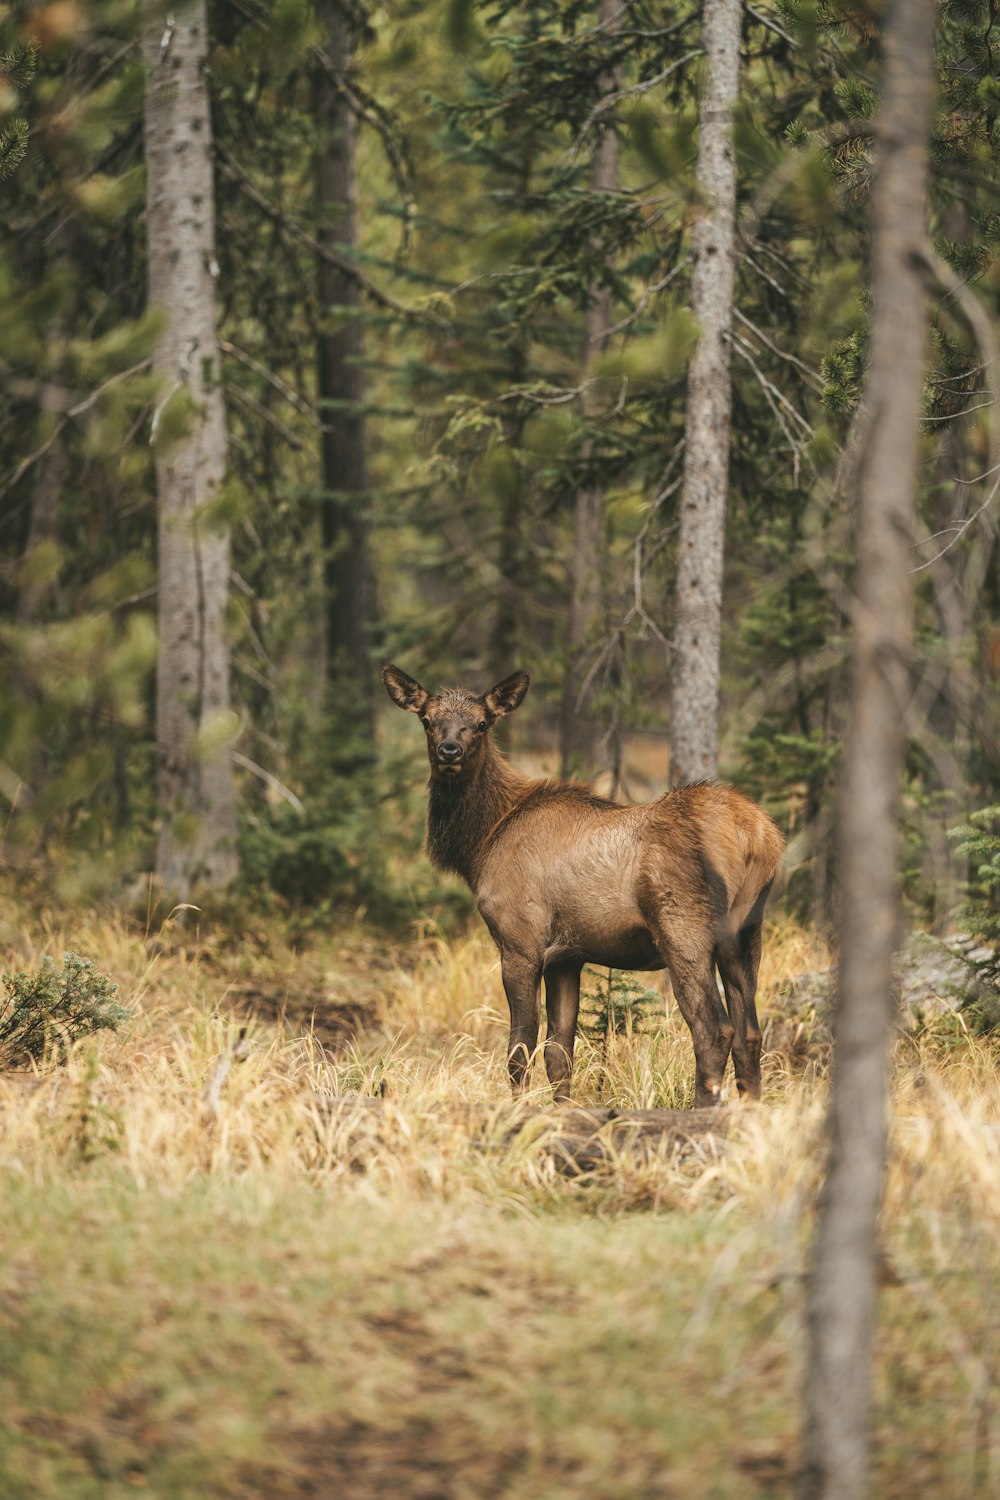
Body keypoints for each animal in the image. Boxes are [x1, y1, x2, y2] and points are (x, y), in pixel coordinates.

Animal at [380, 663, 779, 1110]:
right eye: (427, 720)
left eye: (482, 723)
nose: (450, 750)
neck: (482, 843)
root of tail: (758, 838)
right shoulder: (566, 957)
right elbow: (560, 1054)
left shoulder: (520, 942)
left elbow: (519, 1049)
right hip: (746, 934)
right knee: (750, 1033)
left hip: (683, 929)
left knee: (714, 1030)